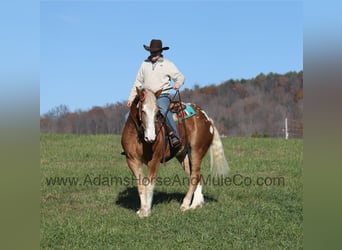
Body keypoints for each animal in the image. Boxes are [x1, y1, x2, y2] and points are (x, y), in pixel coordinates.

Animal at [121, 87, 228, 217]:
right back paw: (196, 204)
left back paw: (186, 204)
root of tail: (207, 119)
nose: (151, 137)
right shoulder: (132, 160)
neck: (139, 137)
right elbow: (141, 185)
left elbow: (150, 185)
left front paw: (146, 211)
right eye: (143, 110)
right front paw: (142, 210)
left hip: (197, 151)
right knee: (197, 176)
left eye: (157, 112)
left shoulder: (154, 161)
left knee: (195, 176)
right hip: (184, 155)